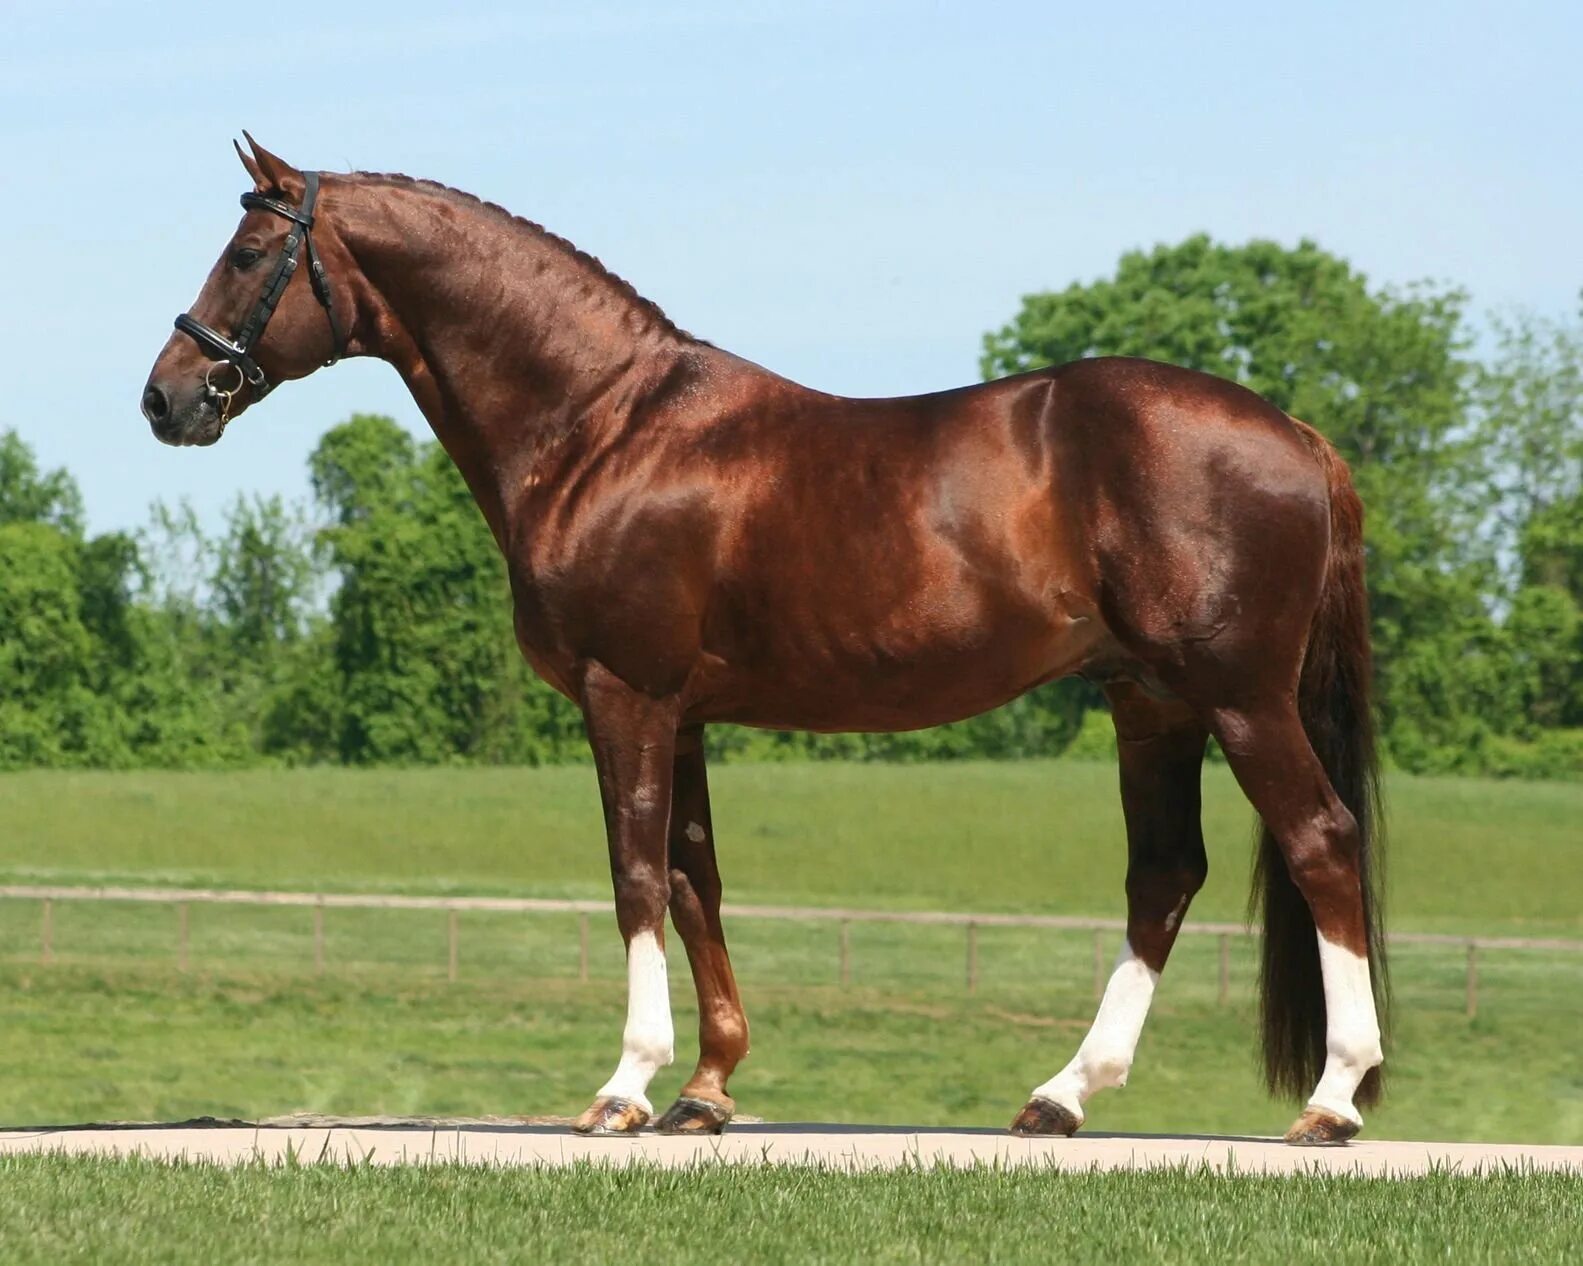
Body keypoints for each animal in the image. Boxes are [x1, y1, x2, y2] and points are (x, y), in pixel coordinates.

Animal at [145, 138, 1386, 1145]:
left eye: (250, 253)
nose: (167, 399)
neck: (603, 427)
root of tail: (1295, 434)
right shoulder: (684, 712)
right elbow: (695, 878)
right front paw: (705, 1092)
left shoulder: (626, 694)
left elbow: (634, 874)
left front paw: (624, 1088)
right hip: (1150, 704)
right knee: (1162, 876)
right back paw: (1060, 1096)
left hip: (1237, 699)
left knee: (1320, 842)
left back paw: (1331, 1100)